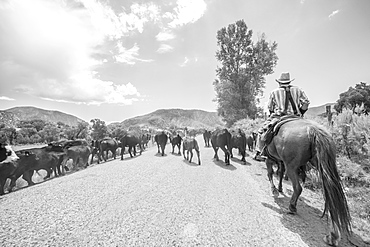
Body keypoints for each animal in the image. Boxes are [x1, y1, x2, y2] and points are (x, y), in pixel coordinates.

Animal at [264, 118, 352, 246]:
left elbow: (271, 173)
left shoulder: (270, 159)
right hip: (323, 166)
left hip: (292, 167)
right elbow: (279, 173)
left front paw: (274, 190)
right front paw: (279, 189)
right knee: (331, 197)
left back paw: (292, 207)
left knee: (298, 188)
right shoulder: (279, 161)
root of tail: (314, 130)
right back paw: (333, 235)